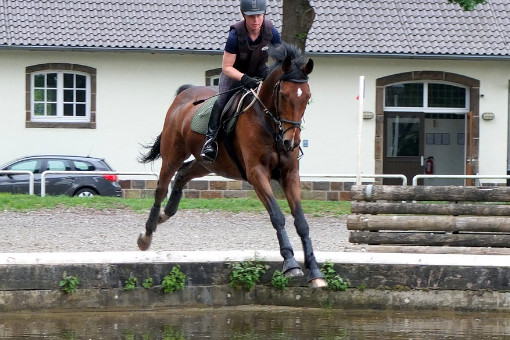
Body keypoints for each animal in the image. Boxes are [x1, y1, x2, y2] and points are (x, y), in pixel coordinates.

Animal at [137, 41, 326, 286]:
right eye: (283, 95)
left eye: (307, 97)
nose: (290, 142)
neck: (271, 126)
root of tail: (184, 95)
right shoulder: (257, 174)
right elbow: (277, 216)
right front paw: (291, 263)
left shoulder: (290, 174)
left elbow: (302, 222)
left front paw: (315, 271)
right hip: (173, 154)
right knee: (161, 187)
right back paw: (147, 234)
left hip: (209, 162)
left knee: (183, 174)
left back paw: (165, 214)